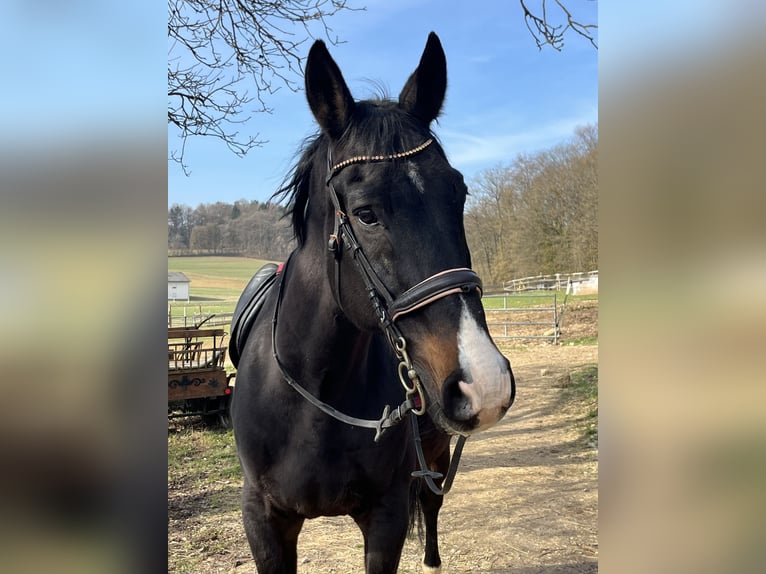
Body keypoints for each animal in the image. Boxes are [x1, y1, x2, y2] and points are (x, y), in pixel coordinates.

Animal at [230, 32, 516, 574]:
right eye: (365, 214)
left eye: (459, 194)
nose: (484, 382)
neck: (316, 395)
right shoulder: (263, 521)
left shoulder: (387, 517)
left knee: (432, 507)